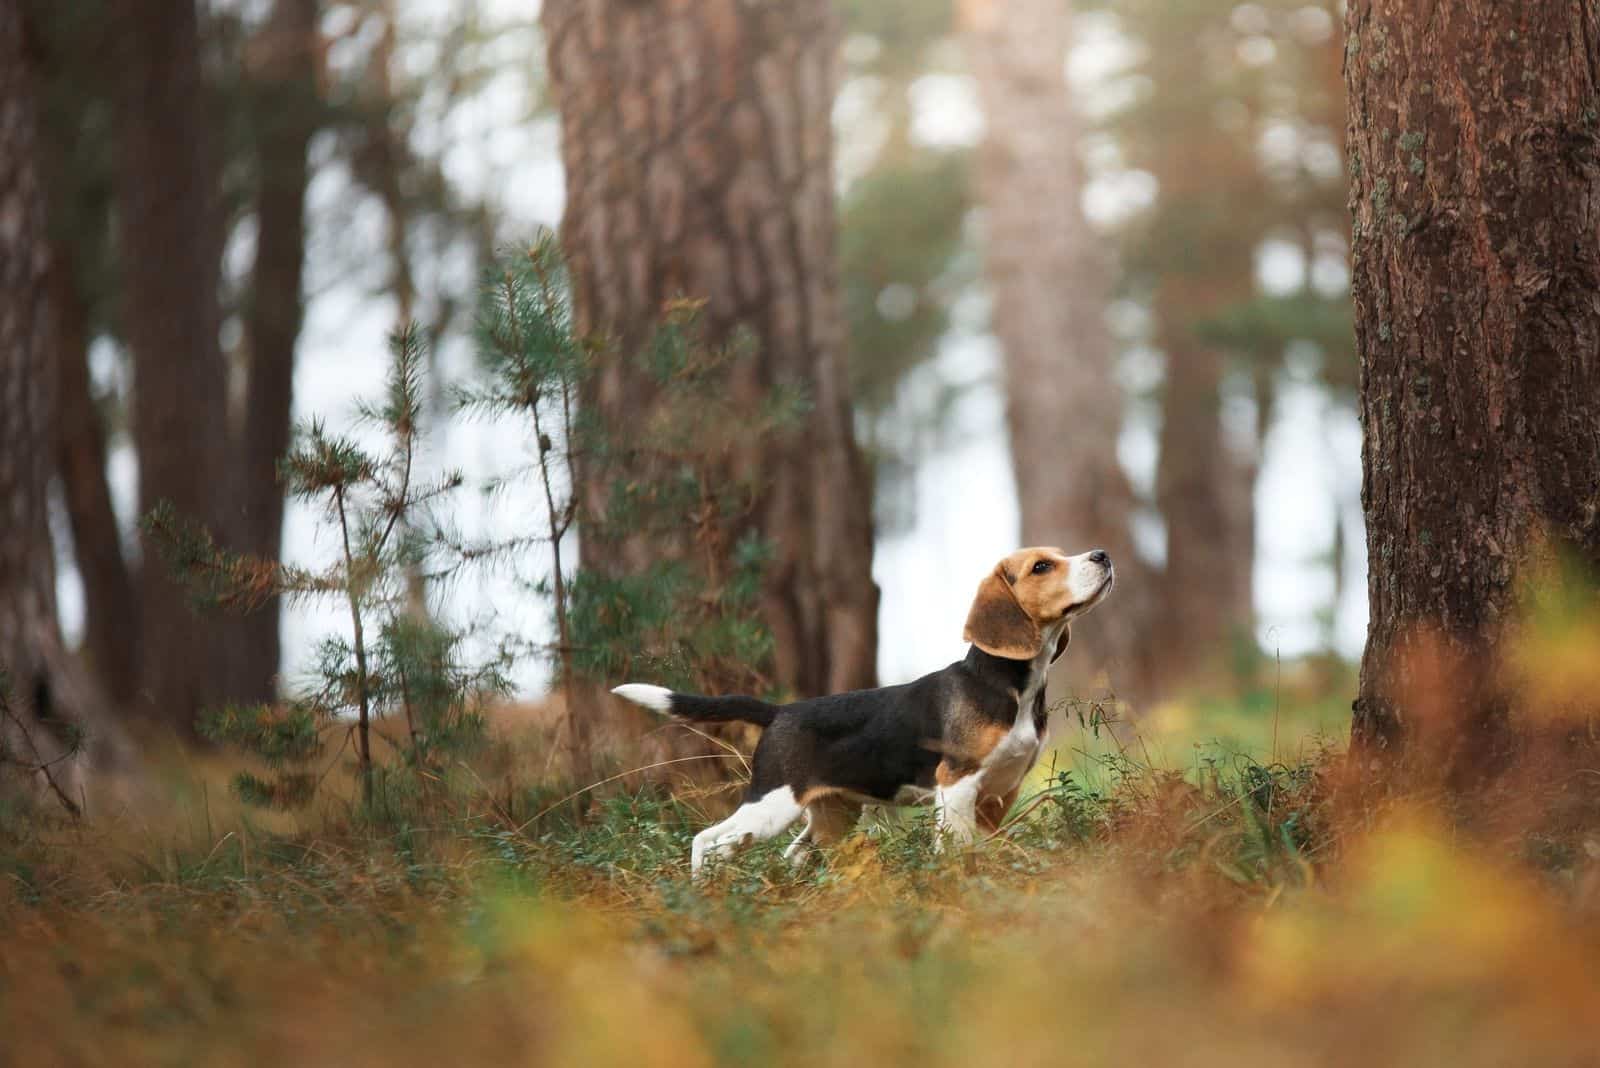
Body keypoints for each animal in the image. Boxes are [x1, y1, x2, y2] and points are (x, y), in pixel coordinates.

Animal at [611, 546, 1113, 869]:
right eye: (1041, 566)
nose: (1103, 555)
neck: (1007, 685)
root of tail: (779, 712)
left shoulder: (1000, 793)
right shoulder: (957, 787)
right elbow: (955, 849)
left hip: (831, 814)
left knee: (787, 852)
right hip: (771, 804)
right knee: (707, 841)